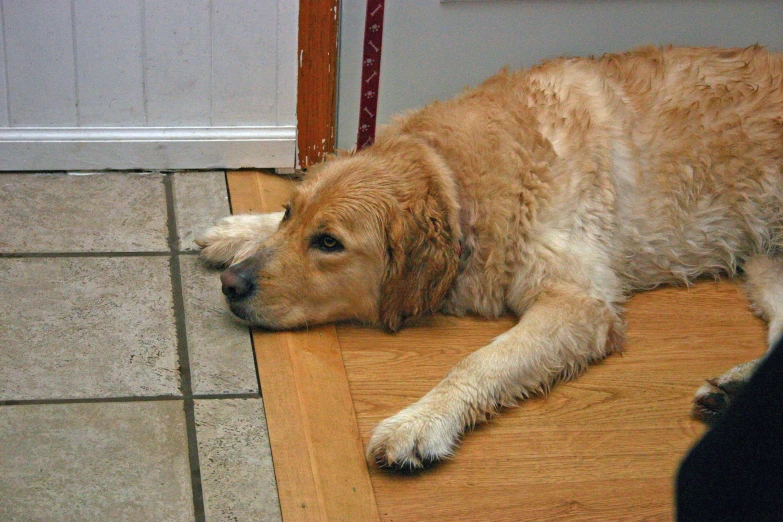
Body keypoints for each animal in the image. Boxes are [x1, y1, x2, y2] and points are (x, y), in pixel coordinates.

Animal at [199, 46, 783, 470]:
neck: (457, 182)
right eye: (289, 214)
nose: (232, 285)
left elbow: (479, 360)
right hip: (765, 263)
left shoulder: (578, 303)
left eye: (329, 243)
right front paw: (238, 230)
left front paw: (421, 421)